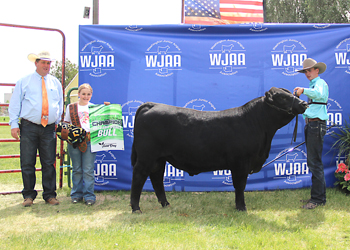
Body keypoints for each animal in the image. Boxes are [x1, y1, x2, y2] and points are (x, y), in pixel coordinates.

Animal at [130, 88, 308, 213]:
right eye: (282, 97)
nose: (304, 104)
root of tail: (152, 105)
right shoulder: (241, 163)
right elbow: (240, 185)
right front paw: (241, 208)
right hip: (146, 157)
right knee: (139, 176)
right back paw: (136, 208)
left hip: (159, 159)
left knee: (156, 178)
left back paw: (166, 204)